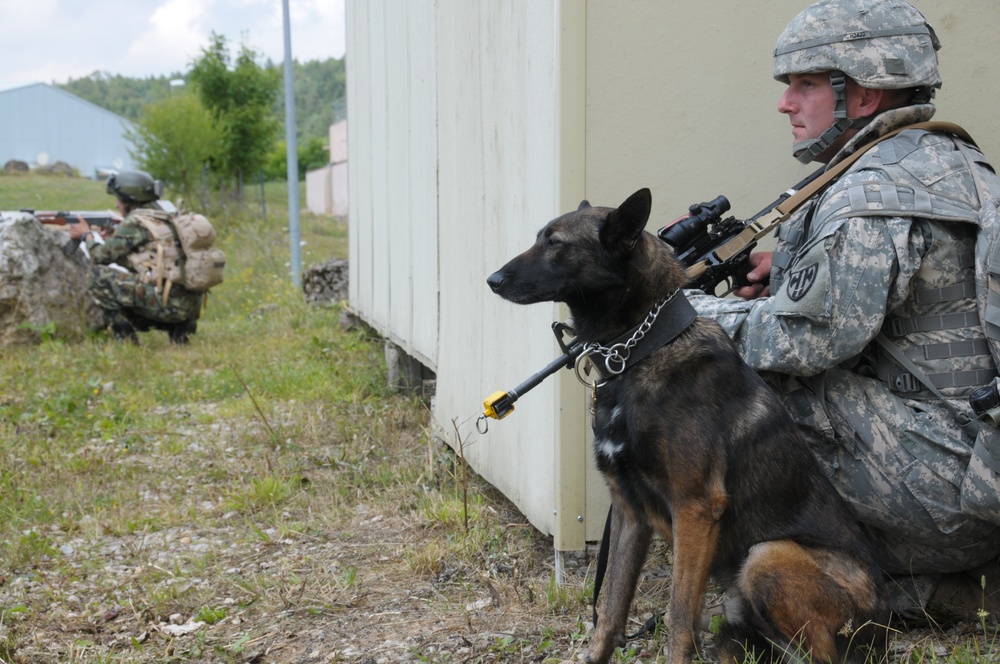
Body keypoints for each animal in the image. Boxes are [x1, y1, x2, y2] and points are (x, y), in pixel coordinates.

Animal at [488, 188, 888, 664]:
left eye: (556, 244)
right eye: (540, 238)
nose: (492, 279)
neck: (639, 351)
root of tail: (881, 622)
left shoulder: (695, 508)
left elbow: (678, 618)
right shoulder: (629, 512)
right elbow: (610, 612)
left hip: (765, 557)